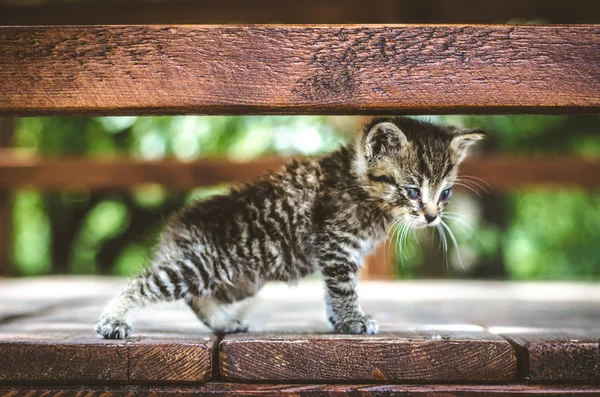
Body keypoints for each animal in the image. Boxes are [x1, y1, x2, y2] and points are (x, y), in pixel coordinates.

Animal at [96, 117, 486, 338]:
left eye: (445, 193)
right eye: (412, 191)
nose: (432, 216)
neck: (358, 184)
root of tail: (178, 223)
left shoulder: (340, 252)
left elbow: (334, 289)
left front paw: (338, 320)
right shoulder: (335, 243)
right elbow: (344, 288)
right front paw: (354, 320)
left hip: (243, 280)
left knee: (196, 297)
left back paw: (223, 322)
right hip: (205, 263)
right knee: (146, 282)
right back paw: (113, 319)